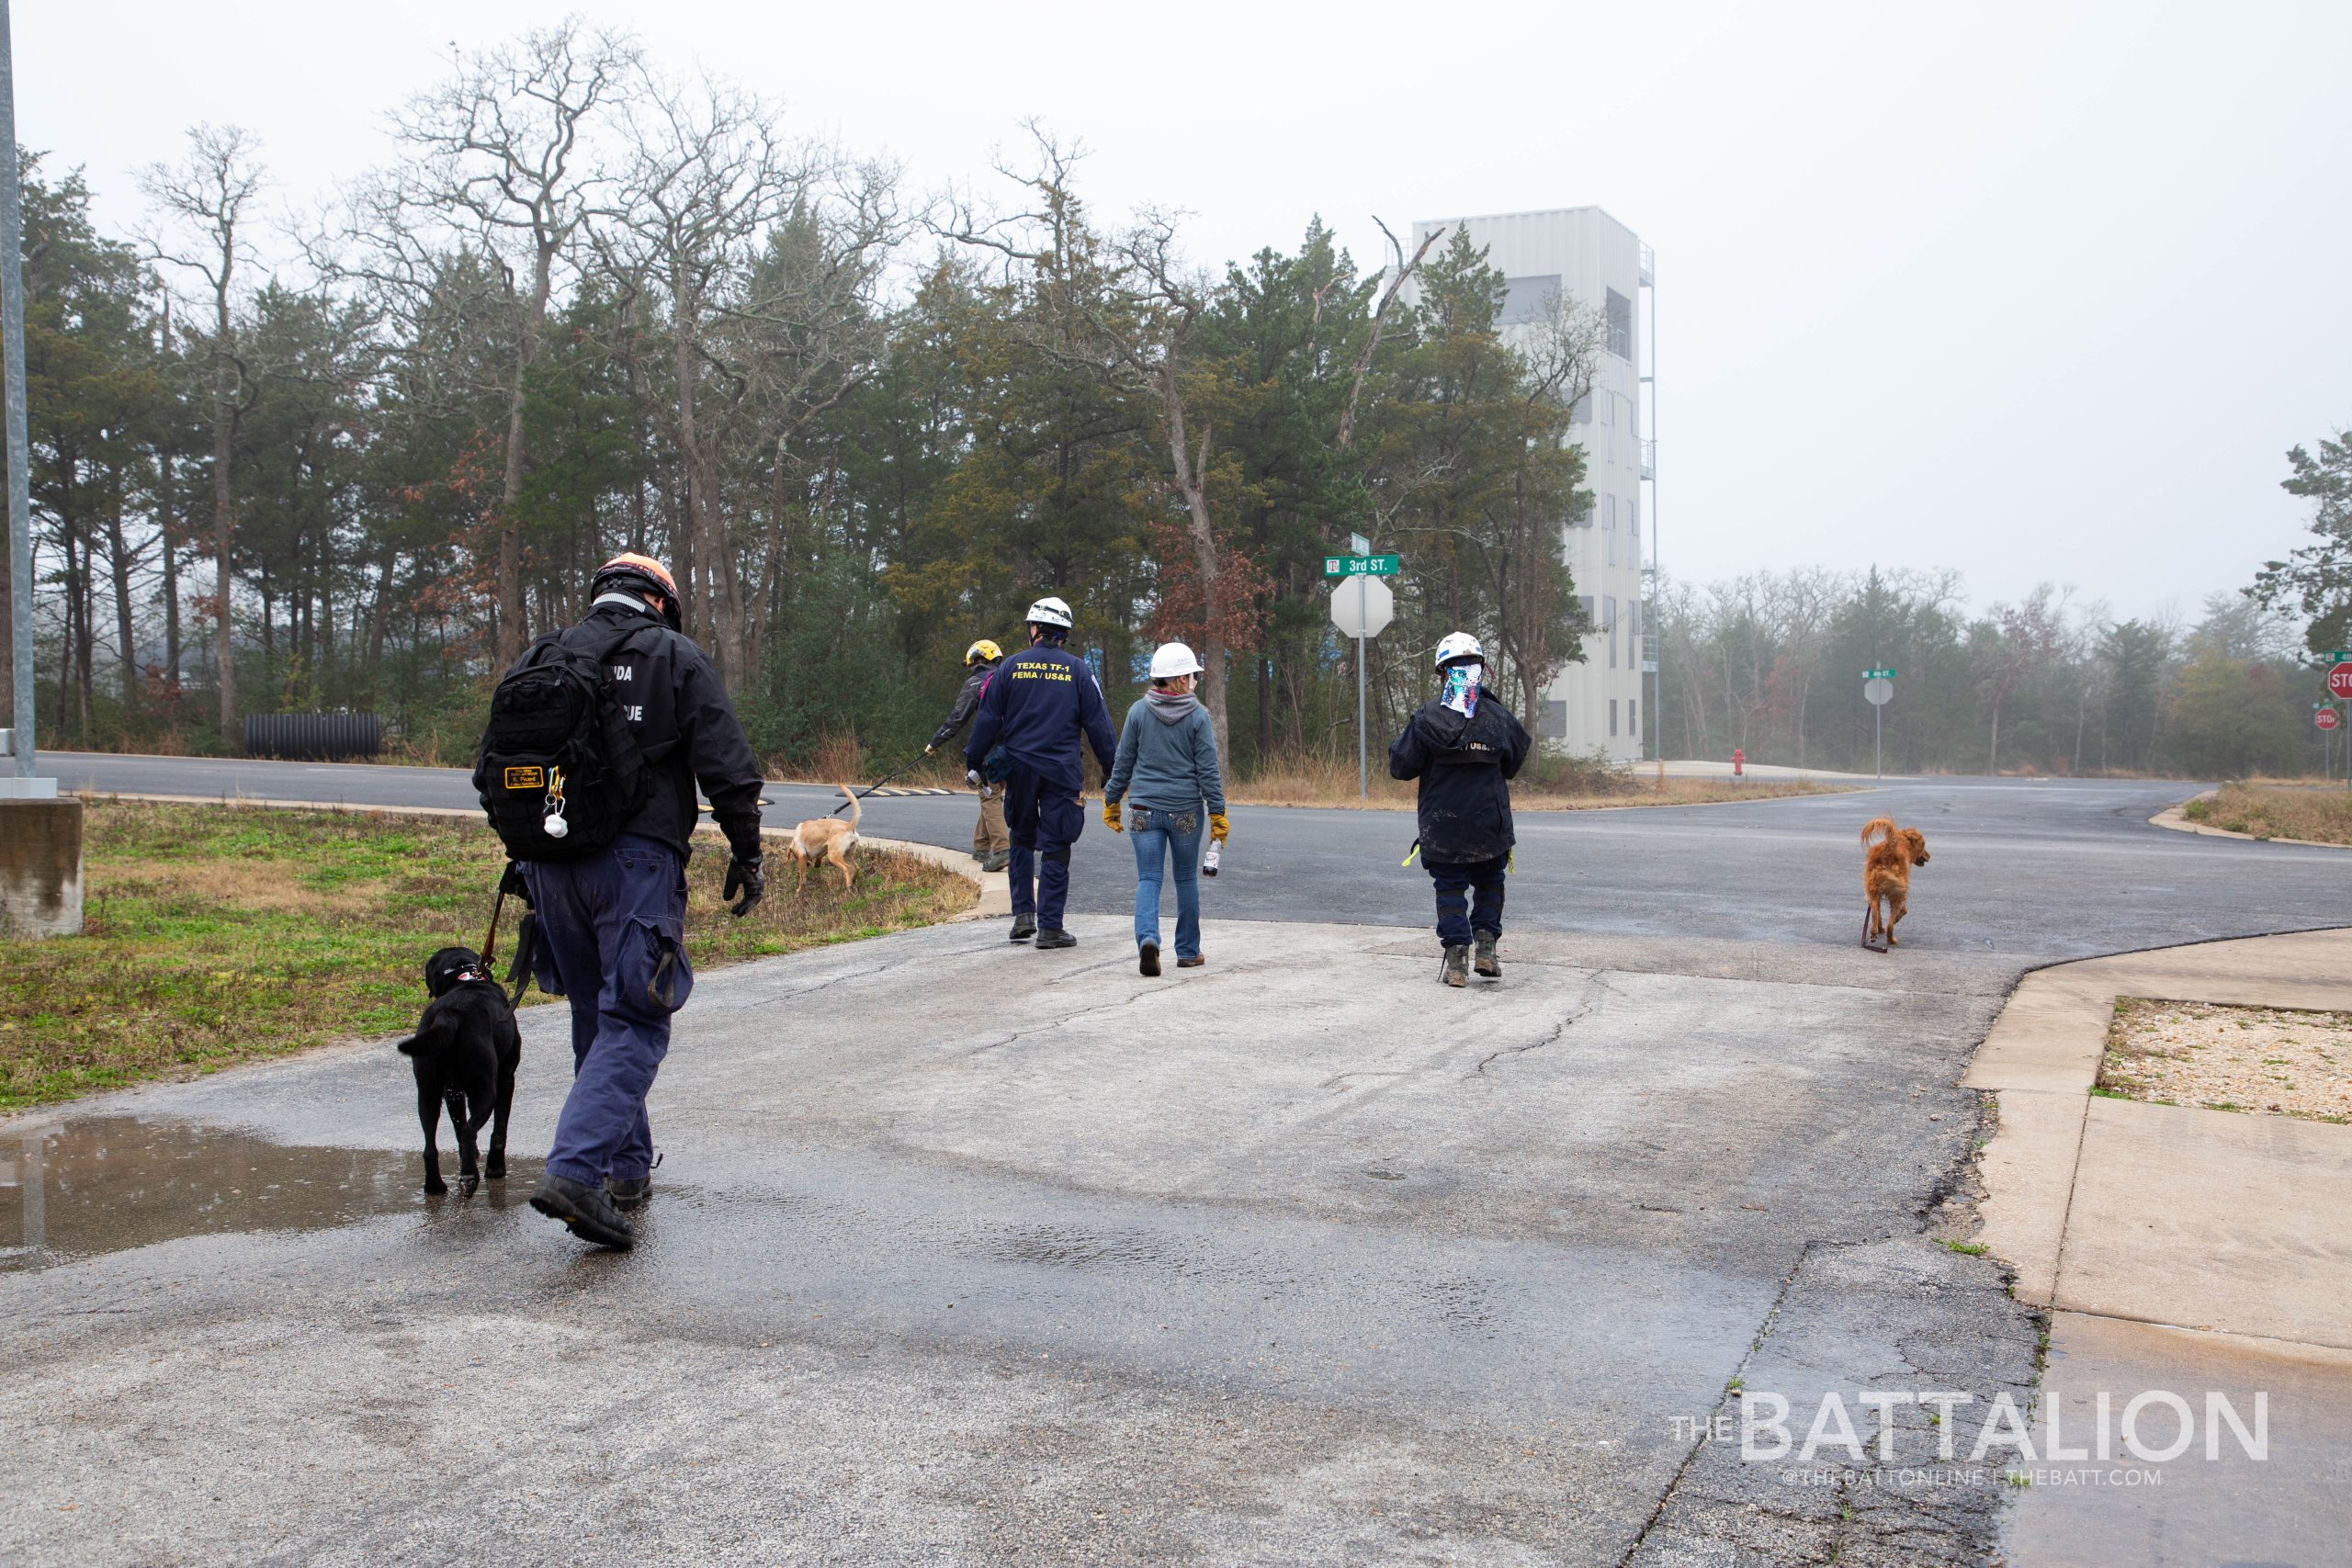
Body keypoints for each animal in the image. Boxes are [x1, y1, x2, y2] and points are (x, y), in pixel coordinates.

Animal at [395, 949, 519, 1194]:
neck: (466, 978)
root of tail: (449, 1014)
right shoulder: (507, 1076)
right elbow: (499, 1128)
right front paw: (495, 1169)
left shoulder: (451, 1090)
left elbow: (457, 1121)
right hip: (484, 1089)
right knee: (469, 1130)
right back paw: (470, 1177)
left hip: (428, 1092)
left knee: (431, 1147)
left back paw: (435, 1186)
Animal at [1853, 818, 1928, 949]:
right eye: (1923, 844)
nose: (1928, 856)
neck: (1903, 842)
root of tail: (1889, 848)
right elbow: (1903, 910)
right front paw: (1897, 918)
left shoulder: (1877, 893)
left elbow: (1877, 914)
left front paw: (1879, 928)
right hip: (1897, 892)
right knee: (1891, 923)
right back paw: (1891, 939)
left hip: (1873, 890)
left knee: (1874, 910)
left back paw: (1874, 933)